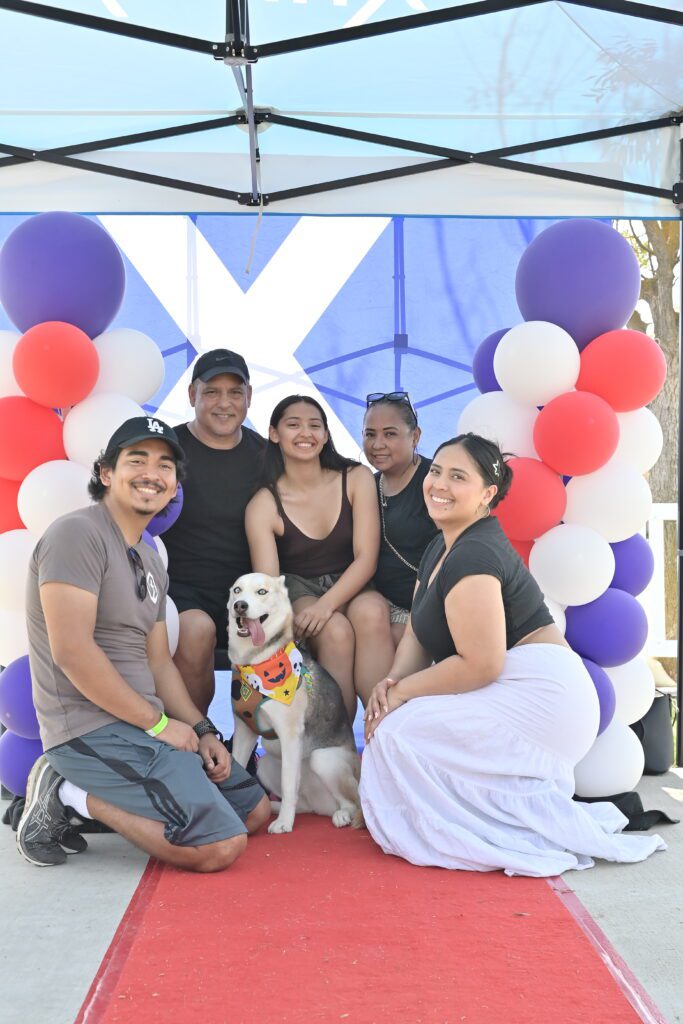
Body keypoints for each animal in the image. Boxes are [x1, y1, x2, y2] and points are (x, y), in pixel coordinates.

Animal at [227, 569, 360, 831]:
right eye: (237, 590)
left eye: (262, 591)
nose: (240, 606)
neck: (257, 662)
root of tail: (322, 807)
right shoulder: (244, 729)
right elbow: (238, 766)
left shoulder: (289, 735)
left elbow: (289, 785)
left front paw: (284, 825)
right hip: (265, 765)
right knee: (303, 803)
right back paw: (276, 808)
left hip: (324, 760)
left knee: (351, 802)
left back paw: (341, 815)